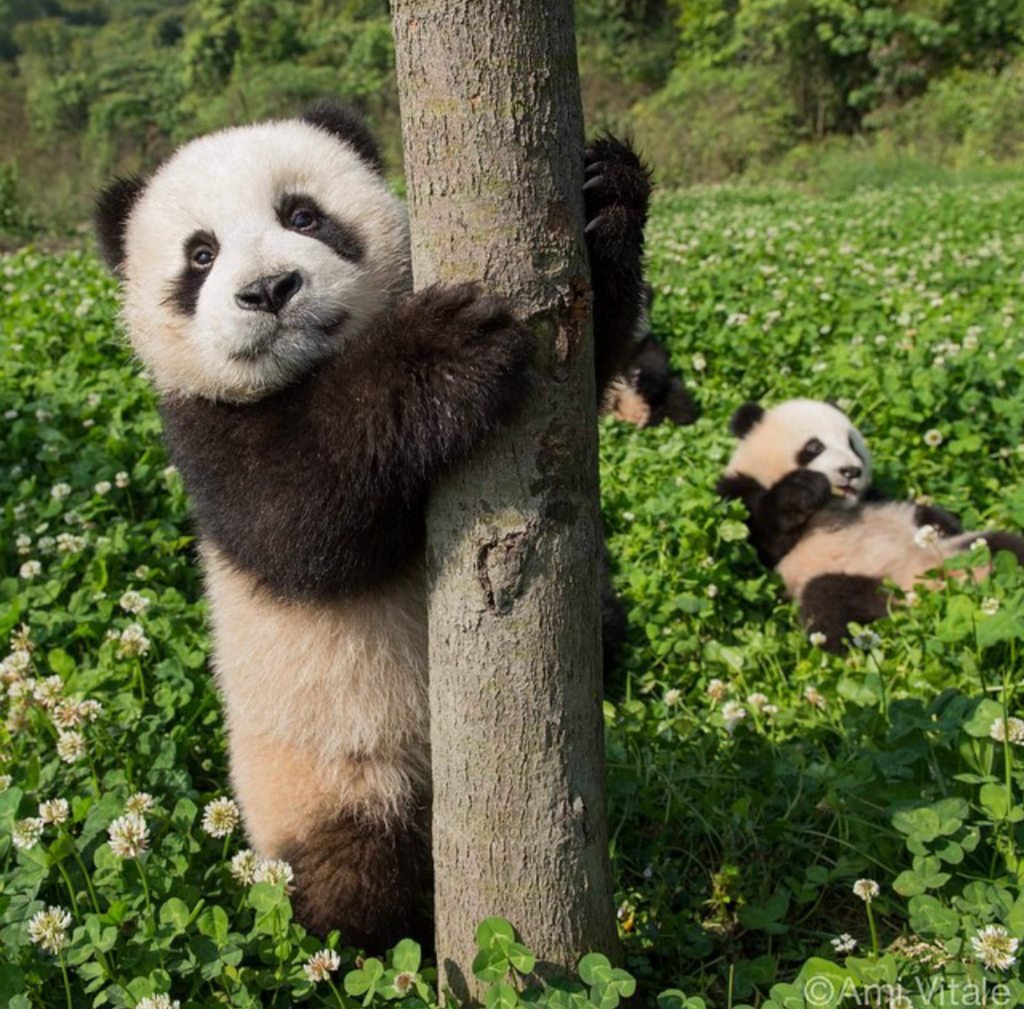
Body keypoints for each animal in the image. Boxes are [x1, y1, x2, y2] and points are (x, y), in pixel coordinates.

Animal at [94, 102, 653, 950]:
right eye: (200, 254)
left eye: (303, 215)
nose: (269, 290)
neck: (311, 368)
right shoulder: (206, 436)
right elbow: (302, 519)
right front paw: (444, 348)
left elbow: (587, 350)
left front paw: (606, 190)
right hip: (329, 772)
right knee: (360, 871)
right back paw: (392, 930)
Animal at [717, 398, 1024, 651]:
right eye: (814, 447)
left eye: (852, 444)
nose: (851, 471)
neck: (834, 504)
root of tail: (929, 592)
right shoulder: (740, 498)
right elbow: (762, 537)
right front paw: (803, 488)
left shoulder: (874, 499)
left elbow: (918, 512)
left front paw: (941, 524)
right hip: (853, 580)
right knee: (830, 603)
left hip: (967, 552)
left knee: (1006, 546)